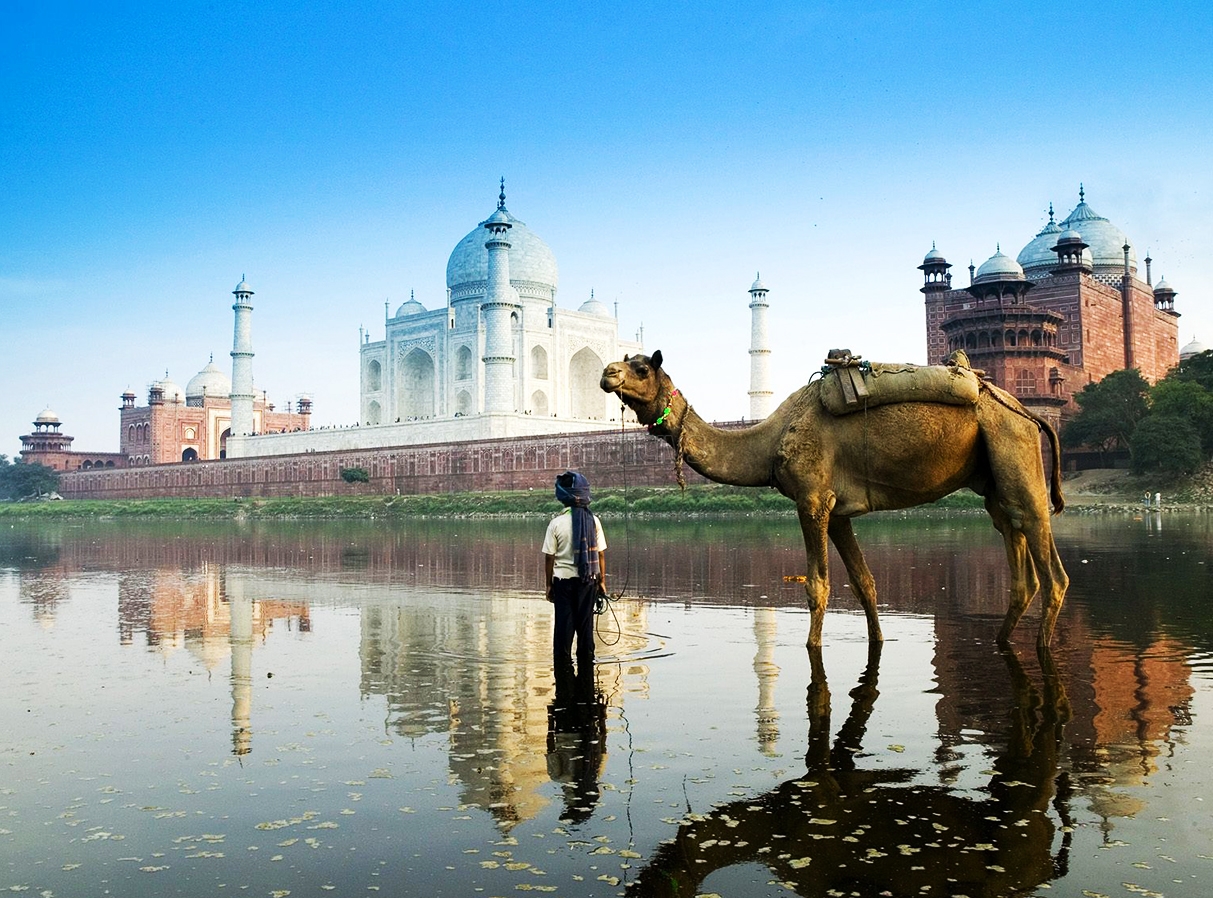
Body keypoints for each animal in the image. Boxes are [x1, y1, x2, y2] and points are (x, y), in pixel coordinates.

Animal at [601, 347, 1067, 650]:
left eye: (640, 368)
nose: (607, 373)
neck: (770, 440)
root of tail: (1028, 412)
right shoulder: (838, 511)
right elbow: (864, 583)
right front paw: (878, 639)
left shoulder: (811, 498)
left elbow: (818, 586)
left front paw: (813, 647)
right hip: (992, 479)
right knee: (1016, 554)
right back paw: (1001, 641)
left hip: (1014, 447)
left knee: (1050, 566)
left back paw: (1041, 647)